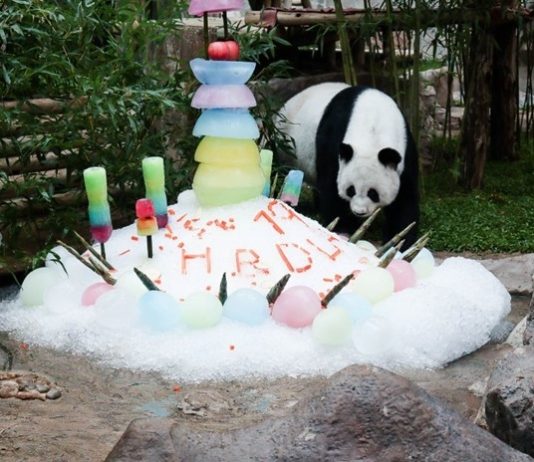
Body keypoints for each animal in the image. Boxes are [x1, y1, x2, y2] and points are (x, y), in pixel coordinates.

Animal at [277, 82, 419, 249]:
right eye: (351, 190)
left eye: (373, 193)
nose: (359, 212)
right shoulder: (334, 139)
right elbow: (332, 187)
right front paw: (343, 230)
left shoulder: (405, 150)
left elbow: (404, 199)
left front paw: (401, 243)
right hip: (283, 144)